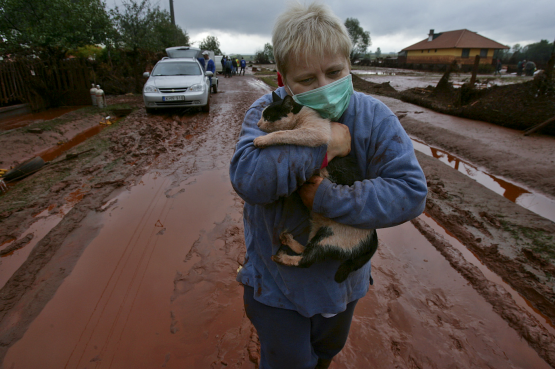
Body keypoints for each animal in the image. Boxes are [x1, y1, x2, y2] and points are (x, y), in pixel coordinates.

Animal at [253, 91, 378, 282]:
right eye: (261, 115)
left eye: (267, 117)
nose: (258, 124)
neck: (300, 115)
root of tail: (373, 240)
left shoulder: (315, 132)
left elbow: (285, 133)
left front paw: (262, 139)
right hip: (319, 229)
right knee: (306, 249)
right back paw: (287, 239)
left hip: (330, 239)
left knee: (306, 261)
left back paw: (282, 257)